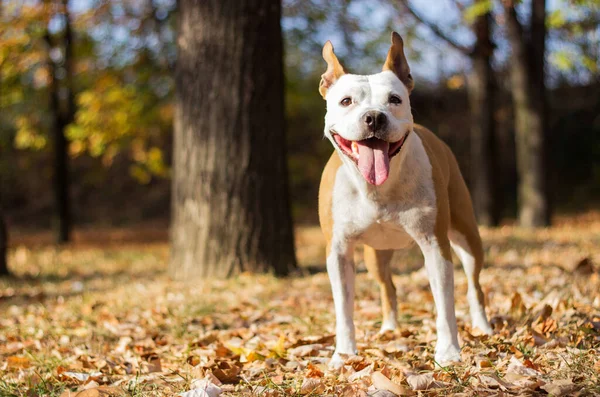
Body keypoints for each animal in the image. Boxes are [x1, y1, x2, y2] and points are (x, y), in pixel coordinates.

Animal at [318, 31, 492, 368]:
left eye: (394, 100)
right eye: (346, 101)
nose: (374, 117)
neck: (376, 189)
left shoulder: (435, 245)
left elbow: (445, 305)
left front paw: (448, 352)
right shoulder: (339, 251)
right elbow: (343, 309)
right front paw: (343, 354)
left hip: (467, 236)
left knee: (474, 285)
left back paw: (483, 327)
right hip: (375, 256)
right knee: (388, 287)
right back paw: (389, 329)